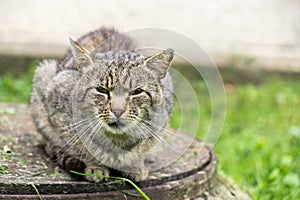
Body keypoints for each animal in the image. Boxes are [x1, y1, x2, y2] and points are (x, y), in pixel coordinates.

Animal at [29, 27, 173, 183]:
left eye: (137, 91)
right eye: (102, 90)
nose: (117, 110)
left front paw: (135, 166)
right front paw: (95, 166)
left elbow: (141, 148)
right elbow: (83, 147)